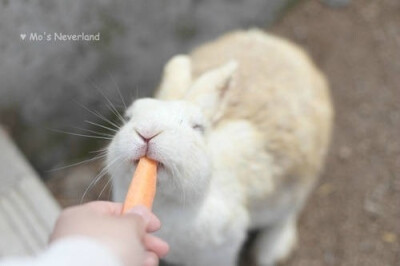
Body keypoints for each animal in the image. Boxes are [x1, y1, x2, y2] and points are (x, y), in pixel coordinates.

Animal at [108, 29, 332, 266]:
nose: (147, 132)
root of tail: (288, 49)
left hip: (294, 183)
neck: (165, 202)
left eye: (198, 127)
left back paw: (271, 251)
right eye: (128, 117)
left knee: (288, 213)